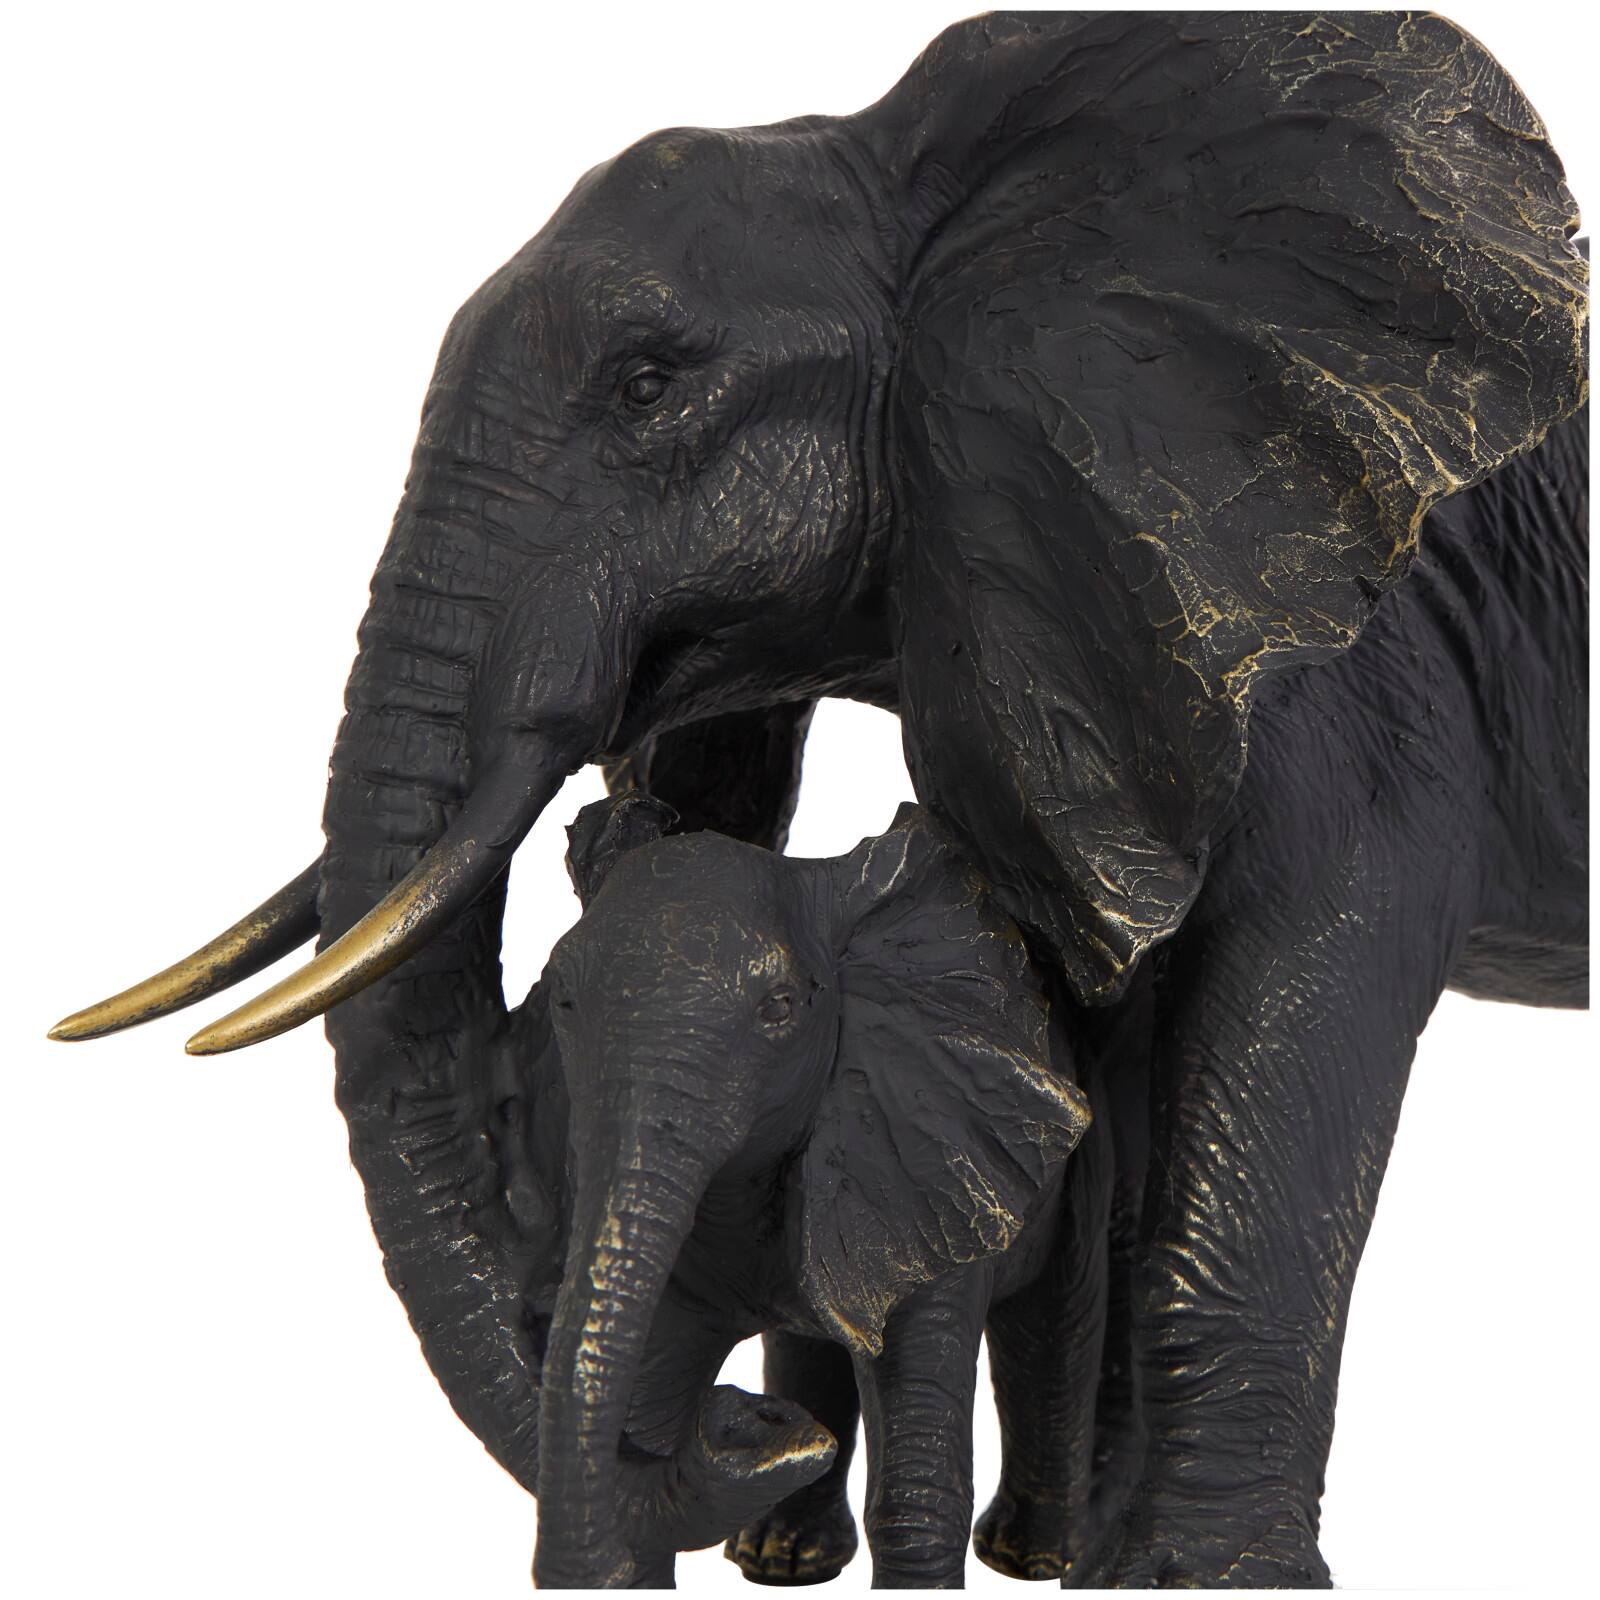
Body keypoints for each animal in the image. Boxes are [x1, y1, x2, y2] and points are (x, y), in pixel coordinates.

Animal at [490, 792, 1093, 1585]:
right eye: (563, 1001)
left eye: (779, 1007)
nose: (756, 1422)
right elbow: (641, 1443)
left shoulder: (927, 1152)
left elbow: (913, 1489)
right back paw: (783, 1557)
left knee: (1050, 1326)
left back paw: (1032, 1557)